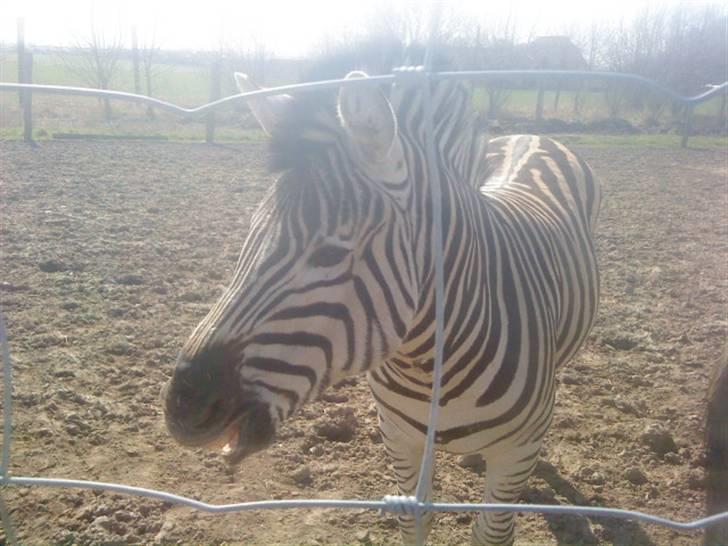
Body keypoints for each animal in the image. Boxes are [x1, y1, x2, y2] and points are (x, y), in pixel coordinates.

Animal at [162, 70, 601, 545]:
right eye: (249, 235)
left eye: (330, 255)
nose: (184, 406)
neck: (426, 363)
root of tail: (531, 135)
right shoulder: (398, 435)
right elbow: (415, 517)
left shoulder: (515, 454)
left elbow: (491, 532)